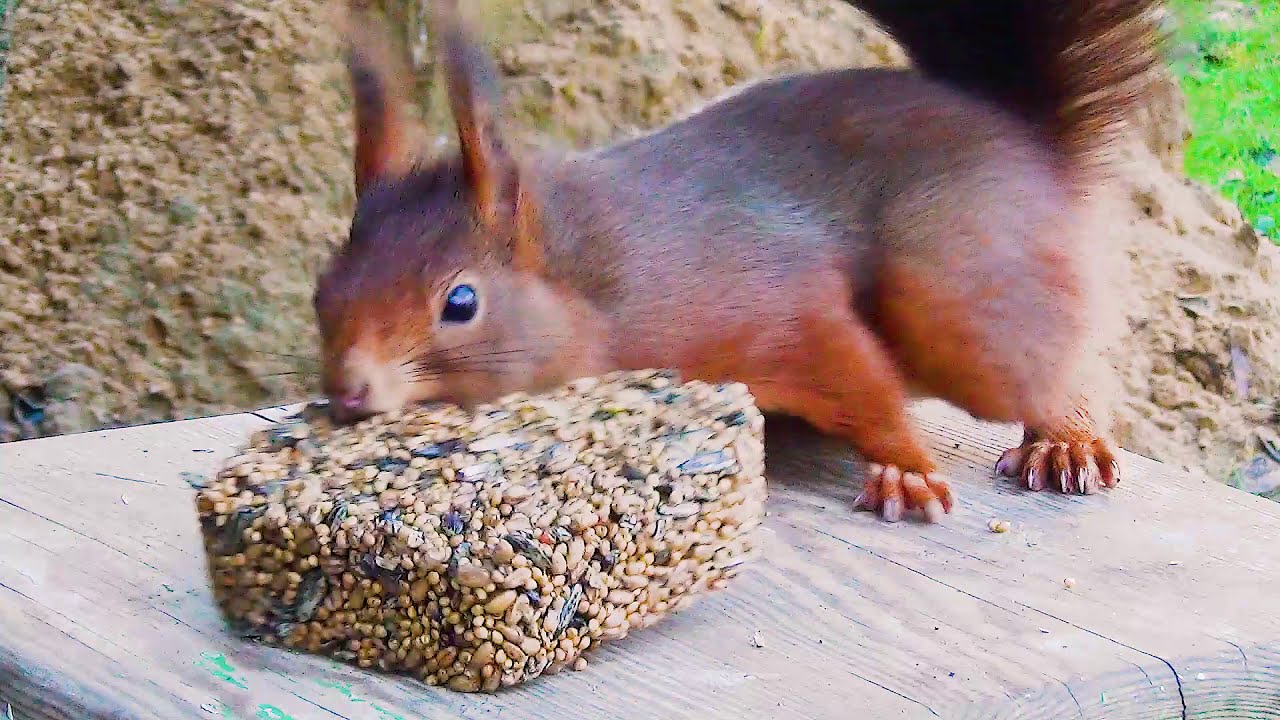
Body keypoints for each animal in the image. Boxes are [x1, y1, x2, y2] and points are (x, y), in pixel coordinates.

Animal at [314, 0, 1164, 523]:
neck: (598, 275)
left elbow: (865, 387)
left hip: (959, 295)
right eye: (323, 290)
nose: (350, 391)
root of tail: (1025, 137)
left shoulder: (777, 305)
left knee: (1050, 362)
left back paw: (1066, 438)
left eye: (460, 303)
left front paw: (904, 468)